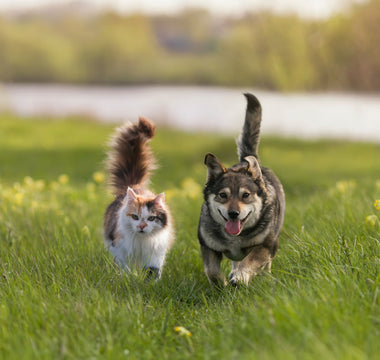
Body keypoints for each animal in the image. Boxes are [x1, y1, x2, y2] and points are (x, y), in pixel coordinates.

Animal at [104, 117, 175, 278]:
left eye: (151, 218)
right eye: (135, 217)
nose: (142, 226)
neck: (141, 242)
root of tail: (134, 184)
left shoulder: (156, 253)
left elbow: (152, 271)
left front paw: (148, 282)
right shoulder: (120, 249)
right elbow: (125, 268)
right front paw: (127, 279)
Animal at [199, 93, 284, 286]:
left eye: (246, 195)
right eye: (222, 195)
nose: (233, 214)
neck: (235, 238)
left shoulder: (266, 245)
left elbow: (251, 260)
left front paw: (240, 276)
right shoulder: (208, 246)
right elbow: (211, 271)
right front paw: (220, 284)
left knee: (264, 264)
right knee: (235, 262)